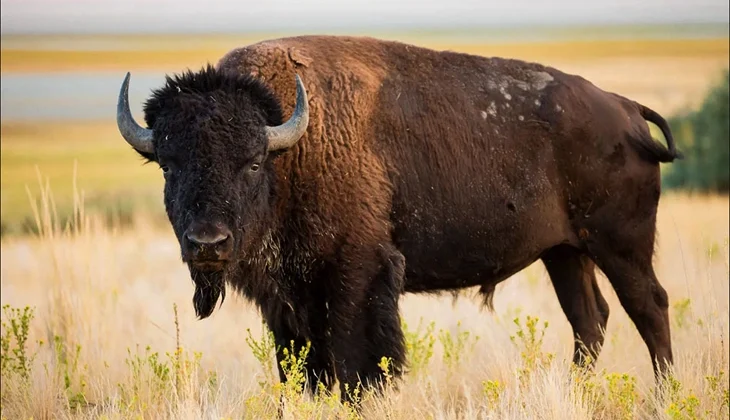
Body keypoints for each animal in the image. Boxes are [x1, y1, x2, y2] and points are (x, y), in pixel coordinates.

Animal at [116, 35, 681, 402]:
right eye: (168, 164)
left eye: (252, 162)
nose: (207, 243)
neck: (291, 148)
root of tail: (624, 109)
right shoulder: (287, 297)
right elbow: (303, 366)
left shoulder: (357, 273)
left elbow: (357, 360)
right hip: (564, 253)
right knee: (590, 320)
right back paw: (575, 392)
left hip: (620, 245)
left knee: (648, 307)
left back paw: (665, 395)